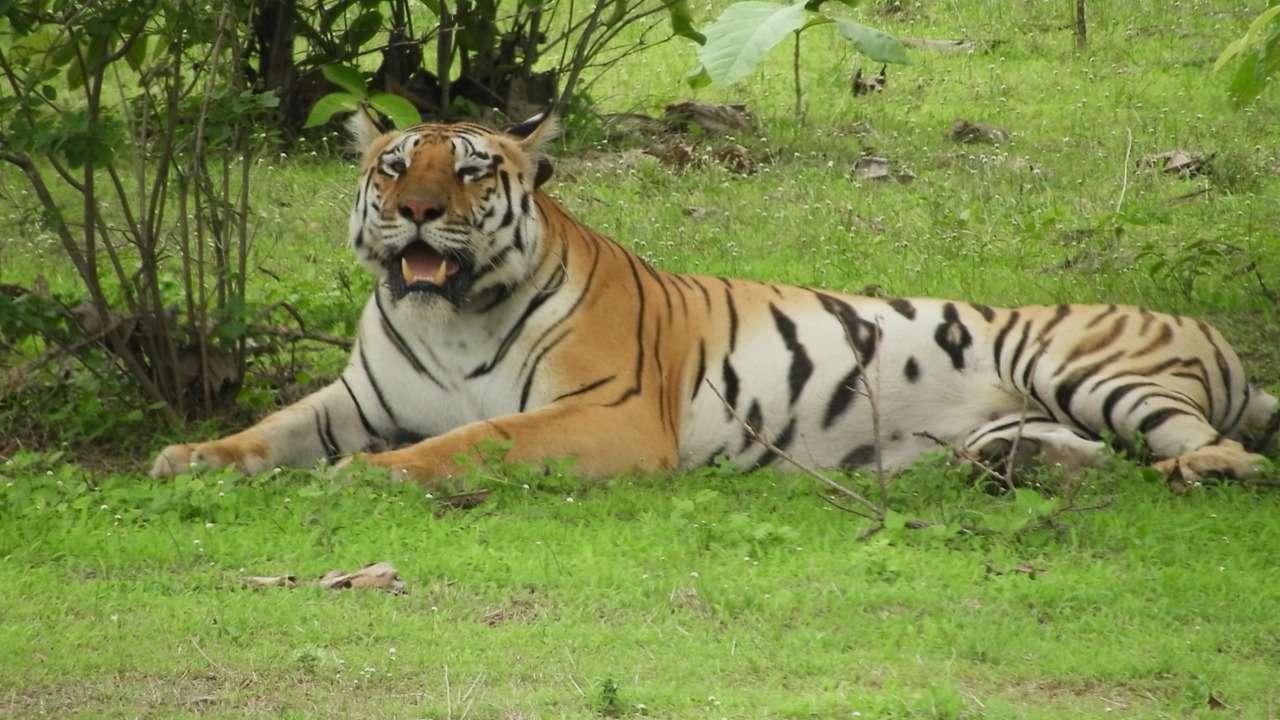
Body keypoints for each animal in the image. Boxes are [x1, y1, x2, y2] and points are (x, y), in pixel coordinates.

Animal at [147, 110, 1269, 481]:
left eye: (467, 172)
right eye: (391, 168)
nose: (417, 212)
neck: (451, 314)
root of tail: (1208, 330)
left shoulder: (605, 412)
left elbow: (472, 438)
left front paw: (372, 477)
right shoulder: (357, 398)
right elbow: (271, 429)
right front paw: (190, 456)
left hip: (1079, 364)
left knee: (1216, 447)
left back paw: (1203, 472)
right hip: (1033, 413)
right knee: (1085, 454)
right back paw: (1009, 472)